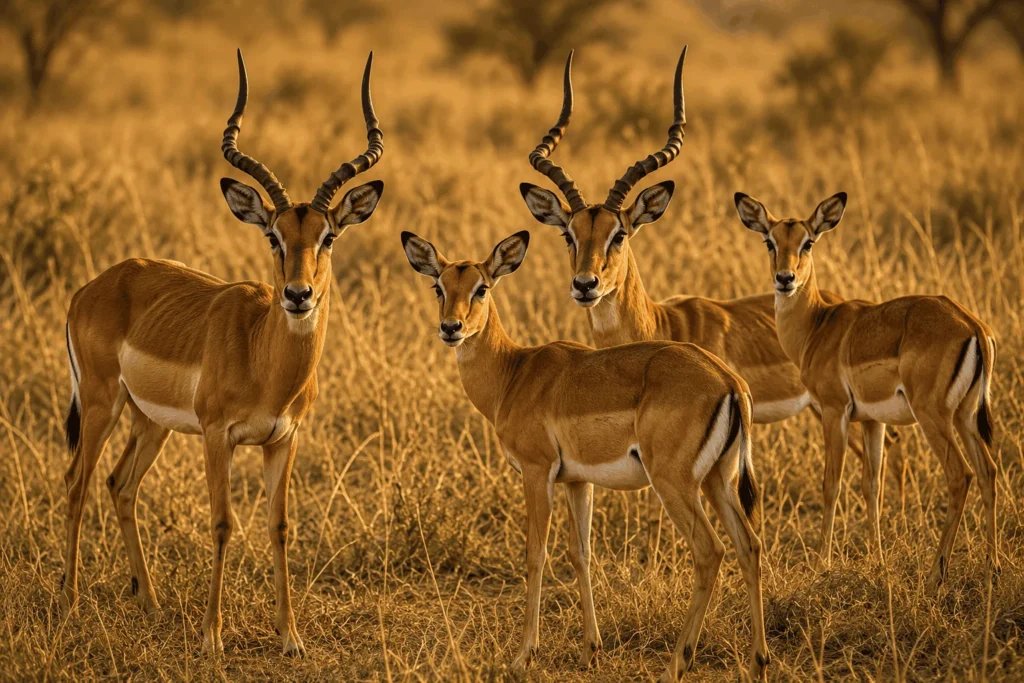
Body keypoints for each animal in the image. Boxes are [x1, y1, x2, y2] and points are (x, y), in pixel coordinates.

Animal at [60, 50, 385, 655]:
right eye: (273, 236)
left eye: (328, 236)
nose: (298, 294)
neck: (264, 360)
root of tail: (92, 286)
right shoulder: (218, 436)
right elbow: (222, 523)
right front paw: (211, 637)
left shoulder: (283, 439)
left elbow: (279, 527)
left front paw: (290, 637)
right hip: (100, 405)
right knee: (78, 481)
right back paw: (68, 601)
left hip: (149, 421)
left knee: (120, 486)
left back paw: (152, 603)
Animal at [400, 230, 770, 681]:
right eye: (439, 287)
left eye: (481, 288)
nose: (450, 328)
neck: (513, 374)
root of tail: (729, 380)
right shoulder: (577, 480)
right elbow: (581, 554)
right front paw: (590, 650)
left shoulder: (536, 472)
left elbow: (536, 554)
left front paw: (523, 657)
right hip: (719, 480)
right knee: (748, 546)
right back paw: (757, 662)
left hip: (675, 483)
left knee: (710, 551)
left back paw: (676, 664)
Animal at [733, 191, 999, 590]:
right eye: (770, 241)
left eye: (808, 242)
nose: (785, 279)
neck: (817, 327)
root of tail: (973, 325)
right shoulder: (874, 421)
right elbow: (871, 484)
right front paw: (877, 558)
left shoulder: (833, 411)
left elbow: (831, 484)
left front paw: (822, 563)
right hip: (965, 416)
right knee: (988, 471)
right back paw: (991, 567)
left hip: (934, 416)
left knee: (960, 475)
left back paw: (936, 573)